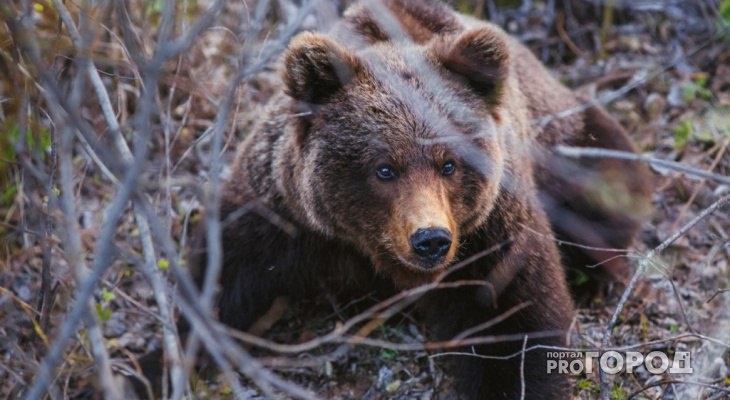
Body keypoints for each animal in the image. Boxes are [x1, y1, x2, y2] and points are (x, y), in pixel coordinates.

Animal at [145, 1, 652, 398]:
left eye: (449, 164)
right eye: (384, 168)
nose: (431, 240)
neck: (373, 252)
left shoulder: (490, 238)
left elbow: (516, 324)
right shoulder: (280, 219)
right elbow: (218, 289)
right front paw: (155, 370)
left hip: (567, 142)